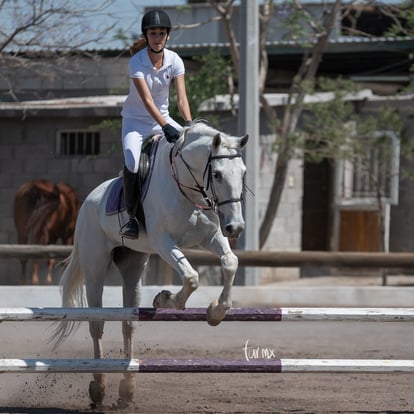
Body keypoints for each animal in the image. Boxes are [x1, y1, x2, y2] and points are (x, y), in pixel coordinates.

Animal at [50, 120, 247, 408]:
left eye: (243, 173)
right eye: (218, 174)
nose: (236, 227)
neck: (187, 185)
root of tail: (88, 201)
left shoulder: (211, 236)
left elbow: (230, 262)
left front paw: (216, 312)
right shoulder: (163, 241)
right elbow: (191, 277)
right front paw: (166, 300)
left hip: (133, 266)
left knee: (128, 323)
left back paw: (127, 389)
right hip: (95, 268)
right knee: (97, 324)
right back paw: (98, 386)